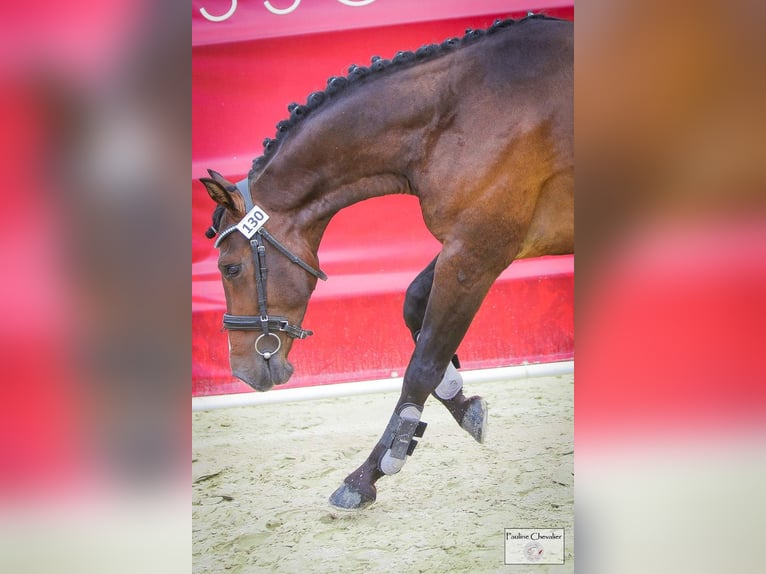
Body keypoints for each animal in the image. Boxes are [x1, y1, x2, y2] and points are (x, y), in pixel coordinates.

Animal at [201, 13, 572, 510]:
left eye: (231, 268)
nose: (241, 372)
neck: (454, 115)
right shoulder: (469, 245)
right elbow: (416, 310)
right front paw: (460, 404)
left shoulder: (476, 251)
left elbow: (422, 363)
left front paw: (368, 474)